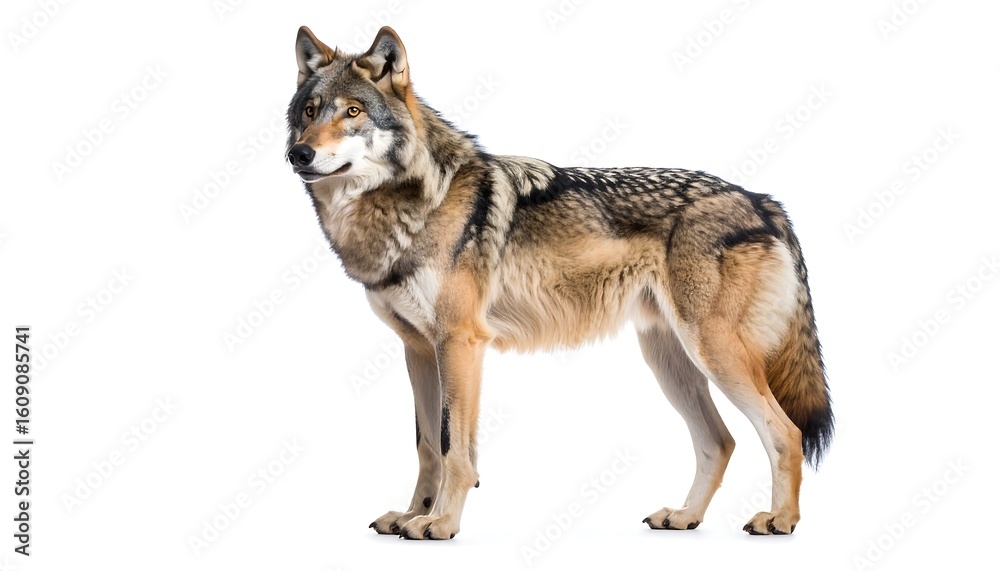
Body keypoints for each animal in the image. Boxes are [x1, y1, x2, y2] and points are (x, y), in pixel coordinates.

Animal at [286, 25, 833, 540]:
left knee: (785, 433)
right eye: (310, 111)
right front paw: (411, 515)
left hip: (716, 354)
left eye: (353, 111)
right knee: (720, 441)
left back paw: (780, 520)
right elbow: (426, 446)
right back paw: (685, 516)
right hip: (670, 361)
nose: (299, 154)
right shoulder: (419, 349)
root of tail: (762, 201)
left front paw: (439, 523)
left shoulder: (460, 343)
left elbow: (452, 448)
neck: (418, 201)